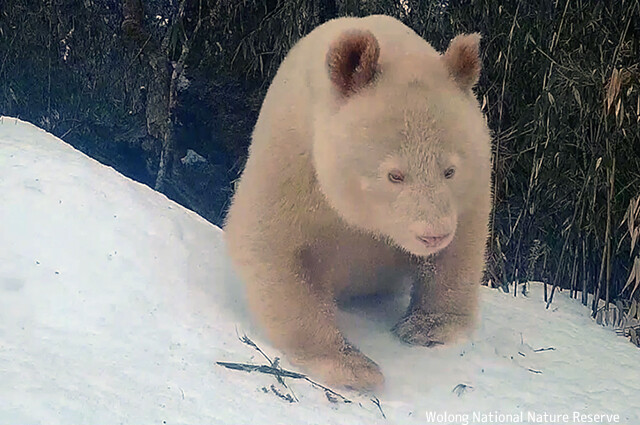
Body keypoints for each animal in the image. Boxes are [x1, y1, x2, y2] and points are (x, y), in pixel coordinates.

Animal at [222, 14, 492, 390]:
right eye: (395, 175)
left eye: (450, 170)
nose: (433, 235)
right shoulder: (293, 158)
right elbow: (272, 246)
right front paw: (352, 366)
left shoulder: (472, 183)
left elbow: (461, 245)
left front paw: (428, 327)